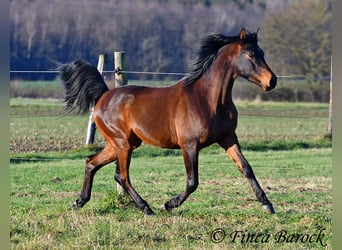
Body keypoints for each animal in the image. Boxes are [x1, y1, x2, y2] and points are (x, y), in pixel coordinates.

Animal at [60, 28, 276, 215]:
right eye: (250, 54)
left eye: (262, 52)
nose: (271, 81)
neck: (208, 100)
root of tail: (104, 95)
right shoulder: (189, 145)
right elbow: (192, 181)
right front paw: (168, 204)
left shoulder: (228, 138)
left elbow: (246, 168)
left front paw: (267, 205)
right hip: (123, 144)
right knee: (122, 176)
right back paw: (146, 208)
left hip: (122, 144)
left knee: (92, 163)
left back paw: (79, 202)